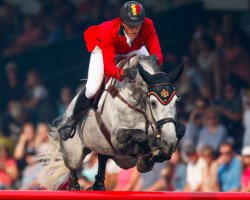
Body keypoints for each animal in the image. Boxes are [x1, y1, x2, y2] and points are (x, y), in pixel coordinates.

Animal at [38, 54, 185, 191]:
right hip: (74, 154)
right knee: (73, 167)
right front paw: (147, 159)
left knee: (102, 158)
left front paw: (160, 153)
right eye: (153, 103)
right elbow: (140, 135)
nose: (170, 140)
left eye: (177, 100)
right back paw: (74, 185)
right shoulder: (117, 138)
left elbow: (181, 129)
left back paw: (98, 185)